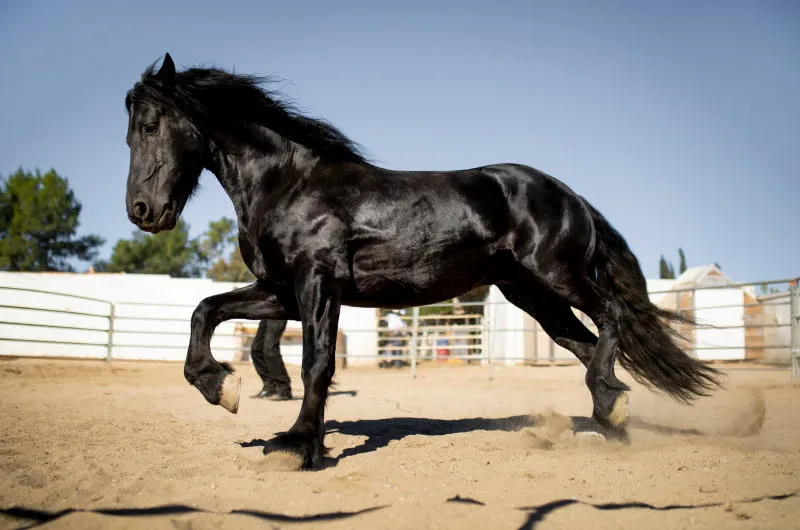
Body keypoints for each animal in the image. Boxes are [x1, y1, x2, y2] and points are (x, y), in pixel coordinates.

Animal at [123, 53, 722, 470]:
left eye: (150, 126)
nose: (142, 211)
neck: (288, 184)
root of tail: (569, 195)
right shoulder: (283, 293)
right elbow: (205, 310)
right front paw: (220, 389)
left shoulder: (317, 285)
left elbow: (318, 363)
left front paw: (296, 445)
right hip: (531, 295)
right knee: (585, 341)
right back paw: (610, 418)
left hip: (559, 276)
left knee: (611, 317)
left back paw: (610, 409)